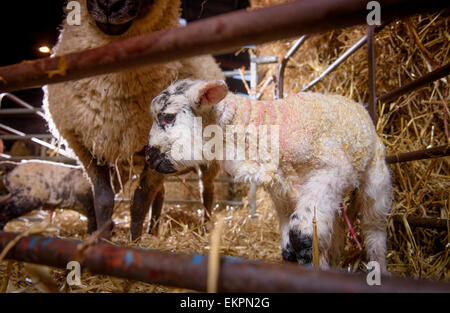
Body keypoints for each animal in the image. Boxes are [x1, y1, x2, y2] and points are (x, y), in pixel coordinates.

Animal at [146, 79, 392, 270]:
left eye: (168, 117)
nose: (149, 156)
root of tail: (357, 105)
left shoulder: (333, 170)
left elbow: (302, 236)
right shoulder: (281, 192)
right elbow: (288, 249)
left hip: (375, 176)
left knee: (374, 228)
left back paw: (380, 267)